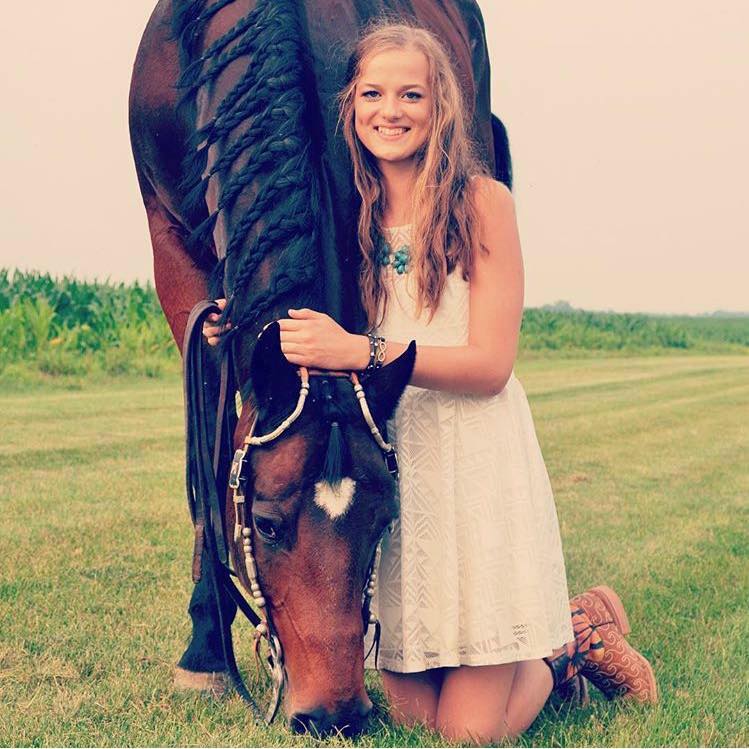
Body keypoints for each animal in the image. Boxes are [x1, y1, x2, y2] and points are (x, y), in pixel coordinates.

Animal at [129, 0, 512, 732]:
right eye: (267, 523)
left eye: (385, 519)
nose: (334, 713)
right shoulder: (171, 244)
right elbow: (209, 442)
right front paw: (205, 652)